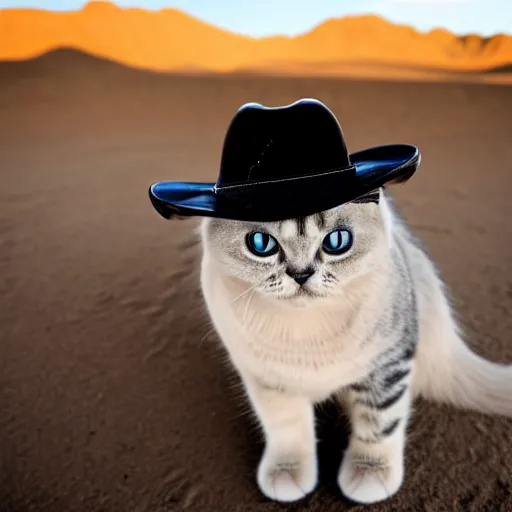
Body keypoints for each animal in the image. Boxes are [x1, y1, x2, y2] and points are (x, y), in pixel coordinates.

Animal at [197, 188, 512, 504]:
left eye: (337, 242)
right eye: (261, 245)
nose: (300, 275)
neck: (307, 333)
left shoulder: (388, 365)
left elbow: (379, 423)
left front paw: (370, 474)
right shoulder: (267, 380)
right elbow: (287, 428)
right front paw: (286, 472)